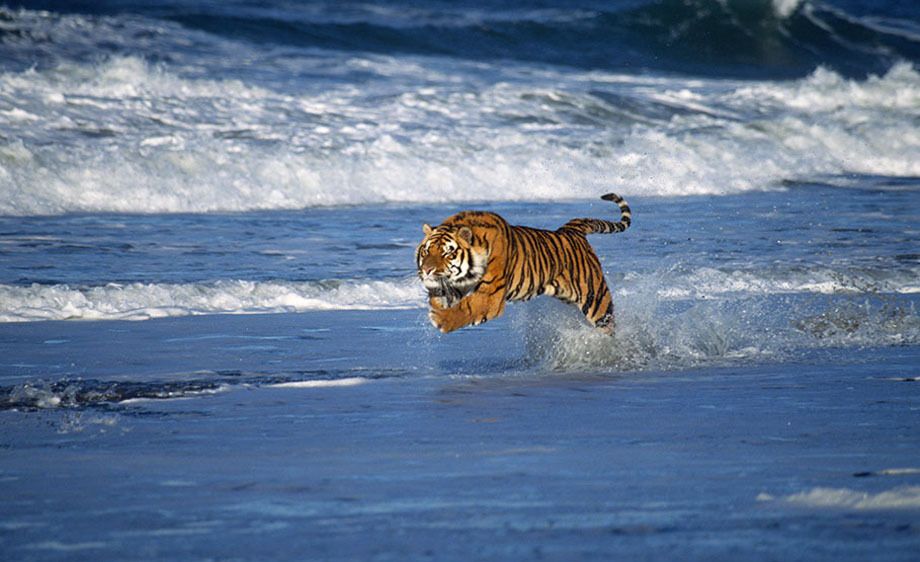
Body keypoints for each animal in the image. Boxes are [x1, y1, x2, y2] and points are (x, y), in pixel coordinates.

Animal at [416, 193, 631, 334]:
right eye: (426, 251)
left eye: (447, 253)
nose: (427, 270)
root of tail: (570, 230)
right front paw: (436, 305)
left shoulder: (490, 296)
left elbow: (466, 309)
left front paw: (441, 319)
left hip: (595, 299)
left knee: (608, 325)